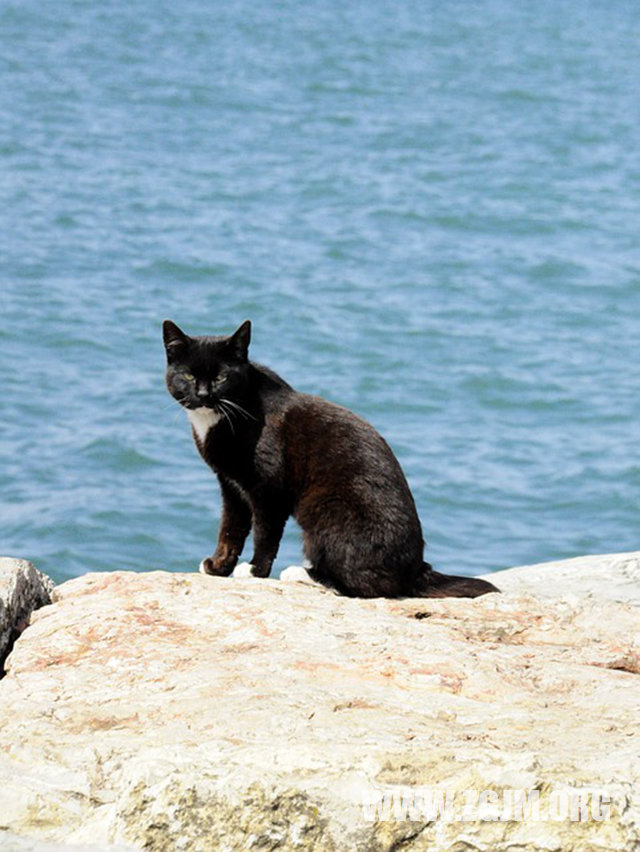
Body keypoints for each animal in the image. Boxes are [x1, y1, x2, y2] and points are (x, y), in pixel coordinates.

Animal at [162, 320, 498, 600]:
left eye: (221, 377)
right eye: (188, 375)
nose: (203, 394)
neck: (221, 415)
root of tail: (417, 570)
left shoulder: (269, 488)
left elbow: (265, 533)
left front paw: (255, 570)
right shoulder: (230, 484)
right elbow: (231, 529)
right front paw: (218, 566)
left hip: (326, 509)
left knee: (369, 586)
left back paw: (303, 573)